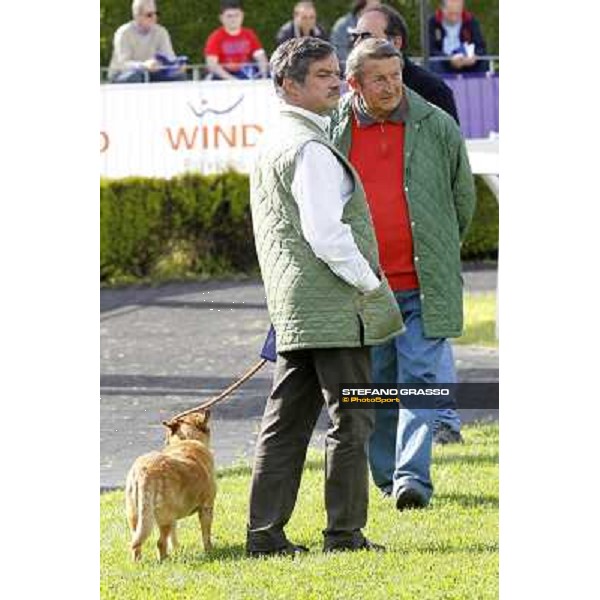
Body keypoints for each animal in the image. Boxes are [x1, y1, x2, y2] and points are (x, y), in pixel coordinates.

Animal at [123, 410, 216, 560]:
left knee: (137, 544)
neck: (185, 440)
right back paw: (164, 560)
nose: (206, 410)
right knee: (160, 542)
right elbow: (206, 534)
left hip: (135, 517)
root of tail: (144, 472)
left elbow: (174, 535)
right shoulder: (206, 507)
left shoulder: (173, 516)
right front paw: (209, 550)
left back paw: (138, 561)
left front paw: (176, 548)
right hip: (164, 518)